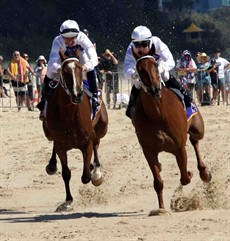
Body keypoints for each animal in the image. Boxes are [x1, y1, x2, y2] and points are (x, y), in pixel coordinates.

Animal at [42, 51, 108, 211]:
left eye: (80, 69)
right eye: (65, 72)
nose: (77, 95)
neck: (68, 115)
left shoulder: (86, 142)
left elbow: (86, 176)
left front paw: (94, 172)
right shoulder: (60, 144)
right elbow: (66, 173)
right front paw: (68, 200)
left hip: (102, 127)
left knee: (97, 143)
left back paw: (96, 171)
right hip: (48, 133)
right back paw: (52, 165)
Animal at [130, 54, 211, 215]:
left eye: (156, 65)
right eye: (139, 70)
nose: (154, 89)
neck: (157, 114)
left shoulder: (179, 147)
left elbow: (185, 177)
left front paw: (191, 175)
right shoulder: (148, 151)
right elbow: (158, 181)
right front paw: (161, 208)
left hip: (198, 129)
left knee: (195, 141)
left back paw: (204, 173)